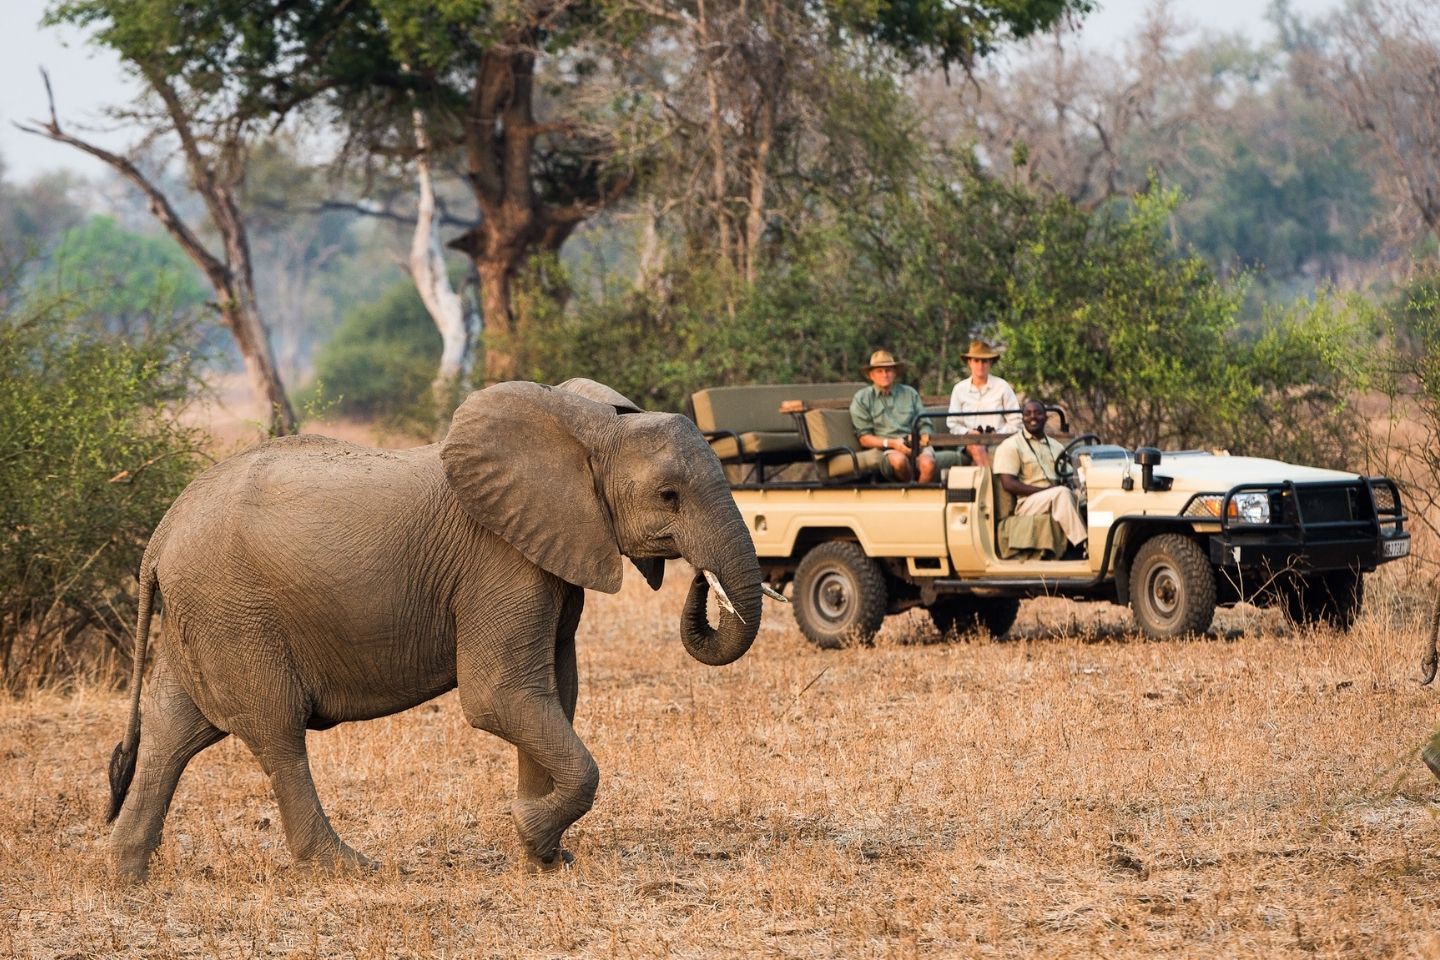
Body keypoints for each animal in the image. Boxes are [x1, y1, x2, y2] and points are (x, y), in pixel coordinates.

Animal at [106, 374, 766, 880]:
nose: (701, 581)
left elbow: (554, 690)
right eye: (669, 495)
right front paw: (534, 834)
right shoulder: (499, 560)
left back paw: (127, 873)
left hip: (205, 612)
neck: (586, 427)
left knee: (172, 728)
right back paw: (349, 869)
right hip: (234, 611)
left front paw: (545, 858)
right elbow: (501, 695)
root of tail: (159, 537)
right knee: (277, 733)